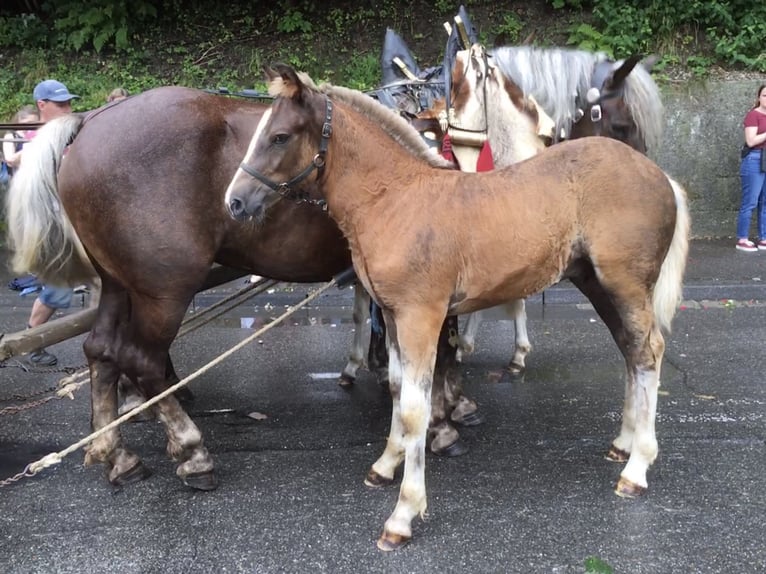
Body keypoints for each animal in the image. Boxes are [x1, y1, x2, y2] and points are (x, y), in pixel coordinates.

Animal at [225, 65, 692, 552]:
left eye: (279, 136)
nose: (234, 201)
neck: (393, 198)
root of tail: (660, 176)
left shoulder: (421, 317)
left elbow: (417, 407)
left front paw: (403, 515)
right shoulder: (391, 315)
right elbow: (397, 389)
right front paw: (385, 465)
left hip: (625, 285)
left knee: (649, 352)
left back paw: (637, 468)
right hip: (598, 284)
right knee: (631, 351)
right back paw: (623, 443)